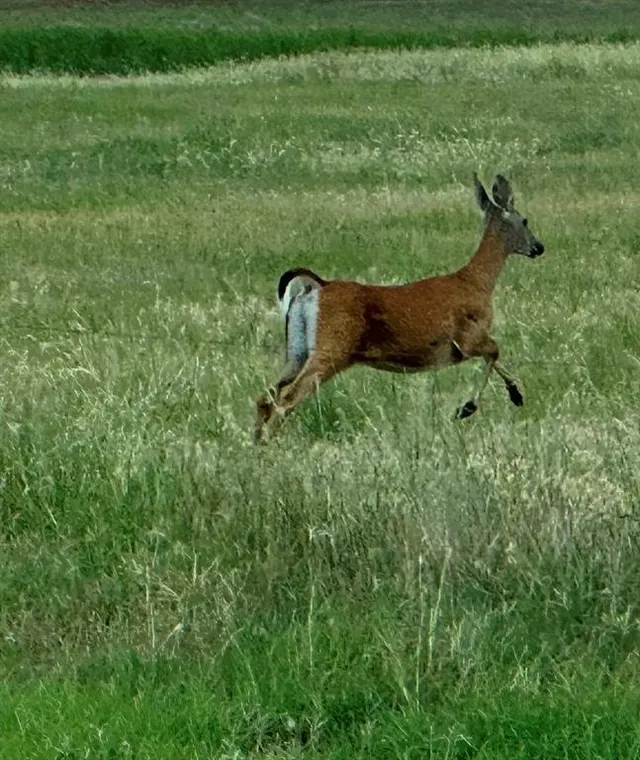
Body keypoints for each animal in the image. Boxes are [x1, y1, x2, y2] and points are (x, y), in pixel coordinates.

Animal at [254, 173, 544, 443]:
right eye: (525, 220)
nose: (539, 247)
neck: (476, 282)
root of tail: (317, 287)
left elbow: (494, 355)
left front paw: (514, 394)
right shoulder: (466, 337)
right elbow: (495, 350)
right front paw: (470, 407)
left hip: (297, 350)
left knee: (266, 396)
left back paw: (257, 442)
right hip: (332, 347)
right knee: (286, 399)